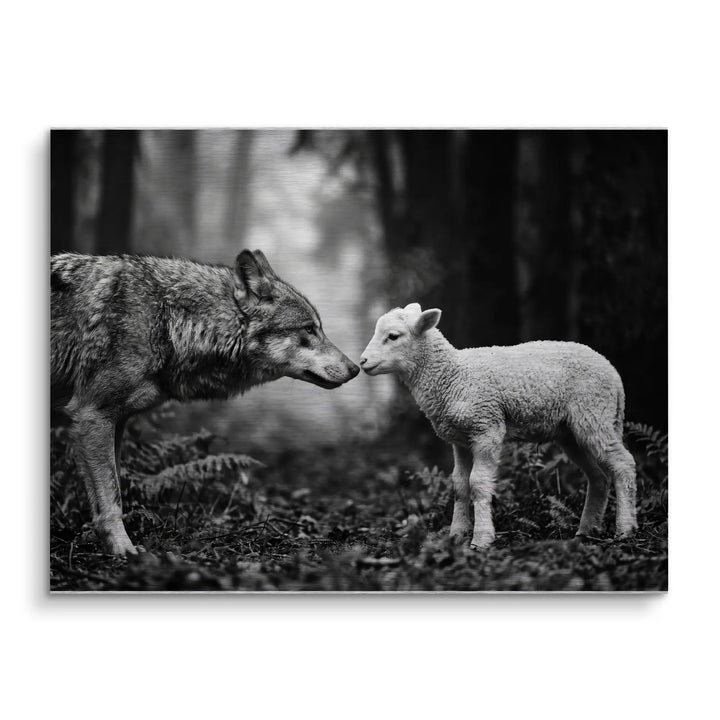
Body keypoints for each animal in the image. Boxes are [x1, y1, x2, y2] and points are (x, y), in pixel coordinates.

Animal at [51, 249, 359, 555]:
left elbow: (111, 492)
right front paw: (123, 550)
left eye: (318, 328)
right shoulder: (93, 415)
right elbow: (112, 496)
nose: (356, 368)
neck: (169, 319)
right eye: (308, 329)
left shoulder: (115, 421)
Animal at [359, 303, 638, 550]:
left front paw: (481, 539)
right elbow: (459, 485)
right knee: (599, 477)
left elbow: (478, 483)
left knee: (624, 464)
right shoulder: (460, 440)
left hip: (594, 413)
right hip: (572, 431)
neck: (453, 376)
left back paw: (625, 529)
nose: (362, 361)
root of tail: (613, 374)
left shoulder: (486, 428)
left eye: (393, 336)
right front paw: (456, 535)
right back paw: (586, 530)